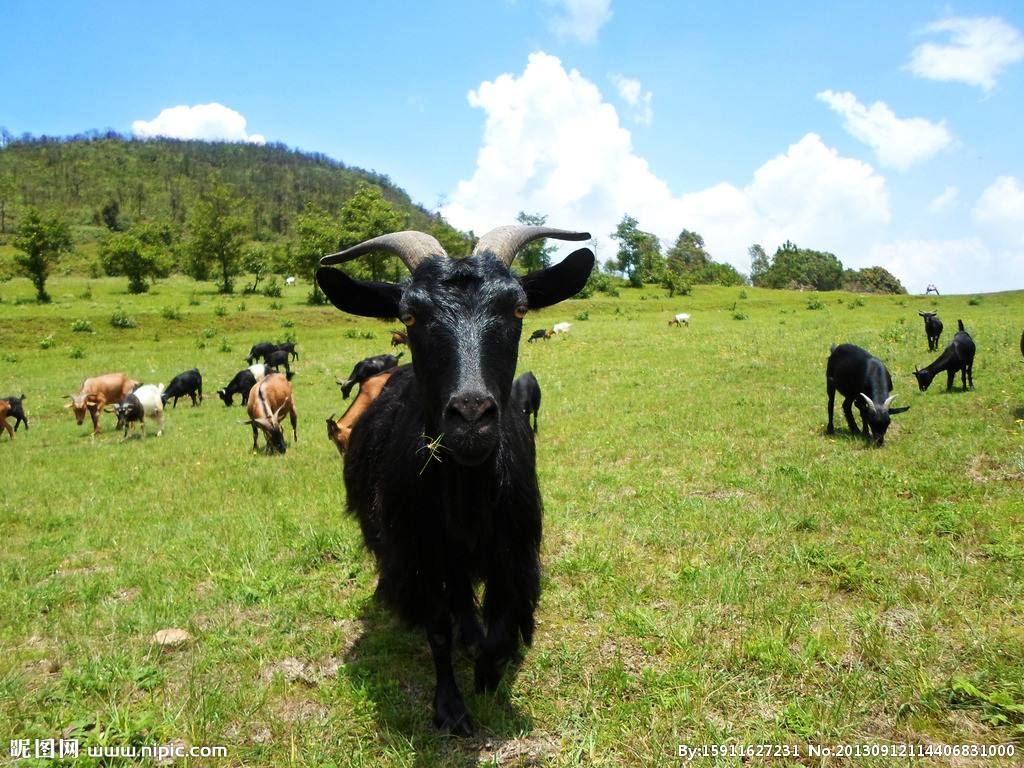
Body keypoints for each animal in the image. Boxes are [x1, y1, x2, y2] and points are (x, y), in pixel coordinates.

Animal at [315, 222, 598, 733]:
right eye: (409, 315)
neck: (468, 495)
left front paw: (489, 671)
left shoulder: (513, 551)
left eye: (519, 307)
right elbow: (438, 629)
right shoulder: (421, 555)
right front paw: (450, 708)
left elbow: (502, 627)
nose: (470, 415)